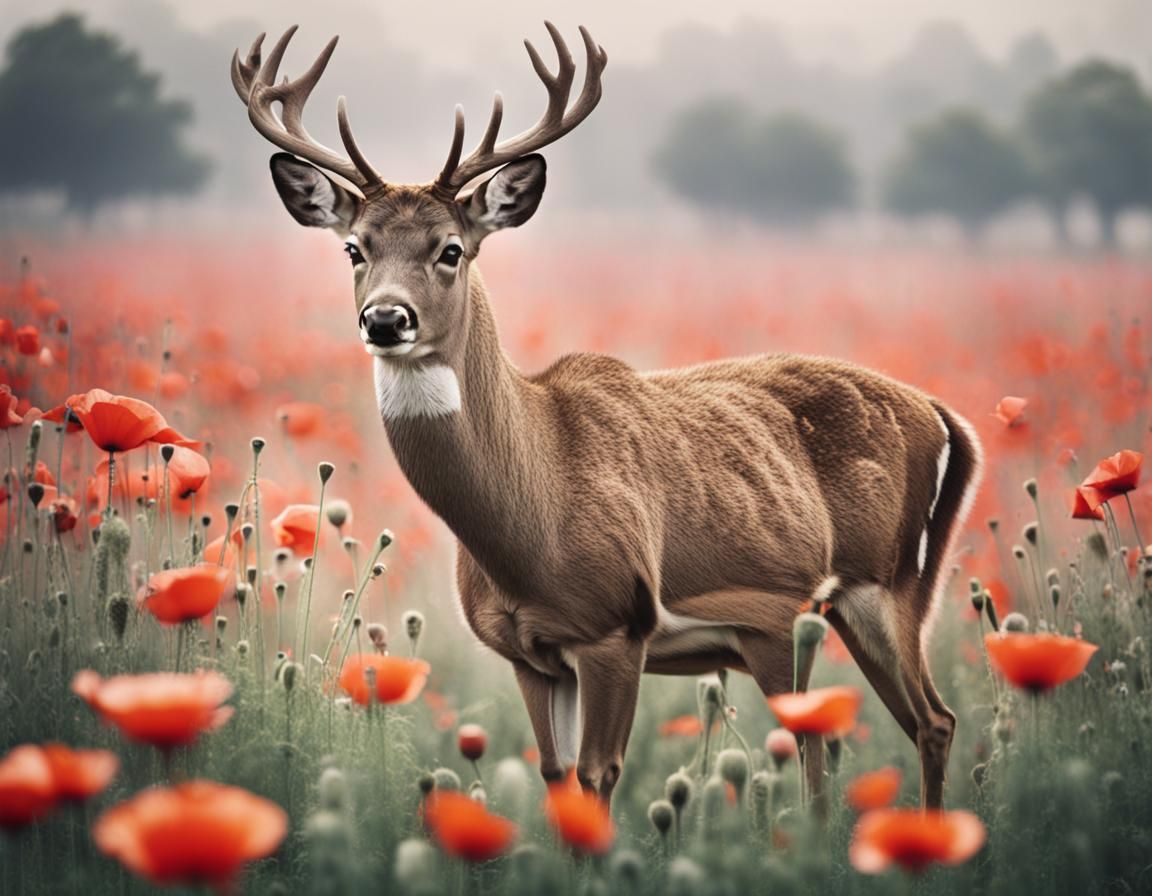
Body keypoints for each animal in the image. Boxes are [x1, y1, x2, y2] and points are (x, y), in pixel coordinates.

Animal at [231, 23, 982, 810]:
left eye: (451, 249)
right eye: (354, 247)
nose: (384, 318)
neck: (534, 514)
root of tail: (944, 418)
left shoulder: (616, 627)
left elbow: (598, 777)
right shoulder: (529, 653)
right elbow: (557, 778)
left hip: (877, 589)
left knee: (888, 733)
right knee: (904, 727)